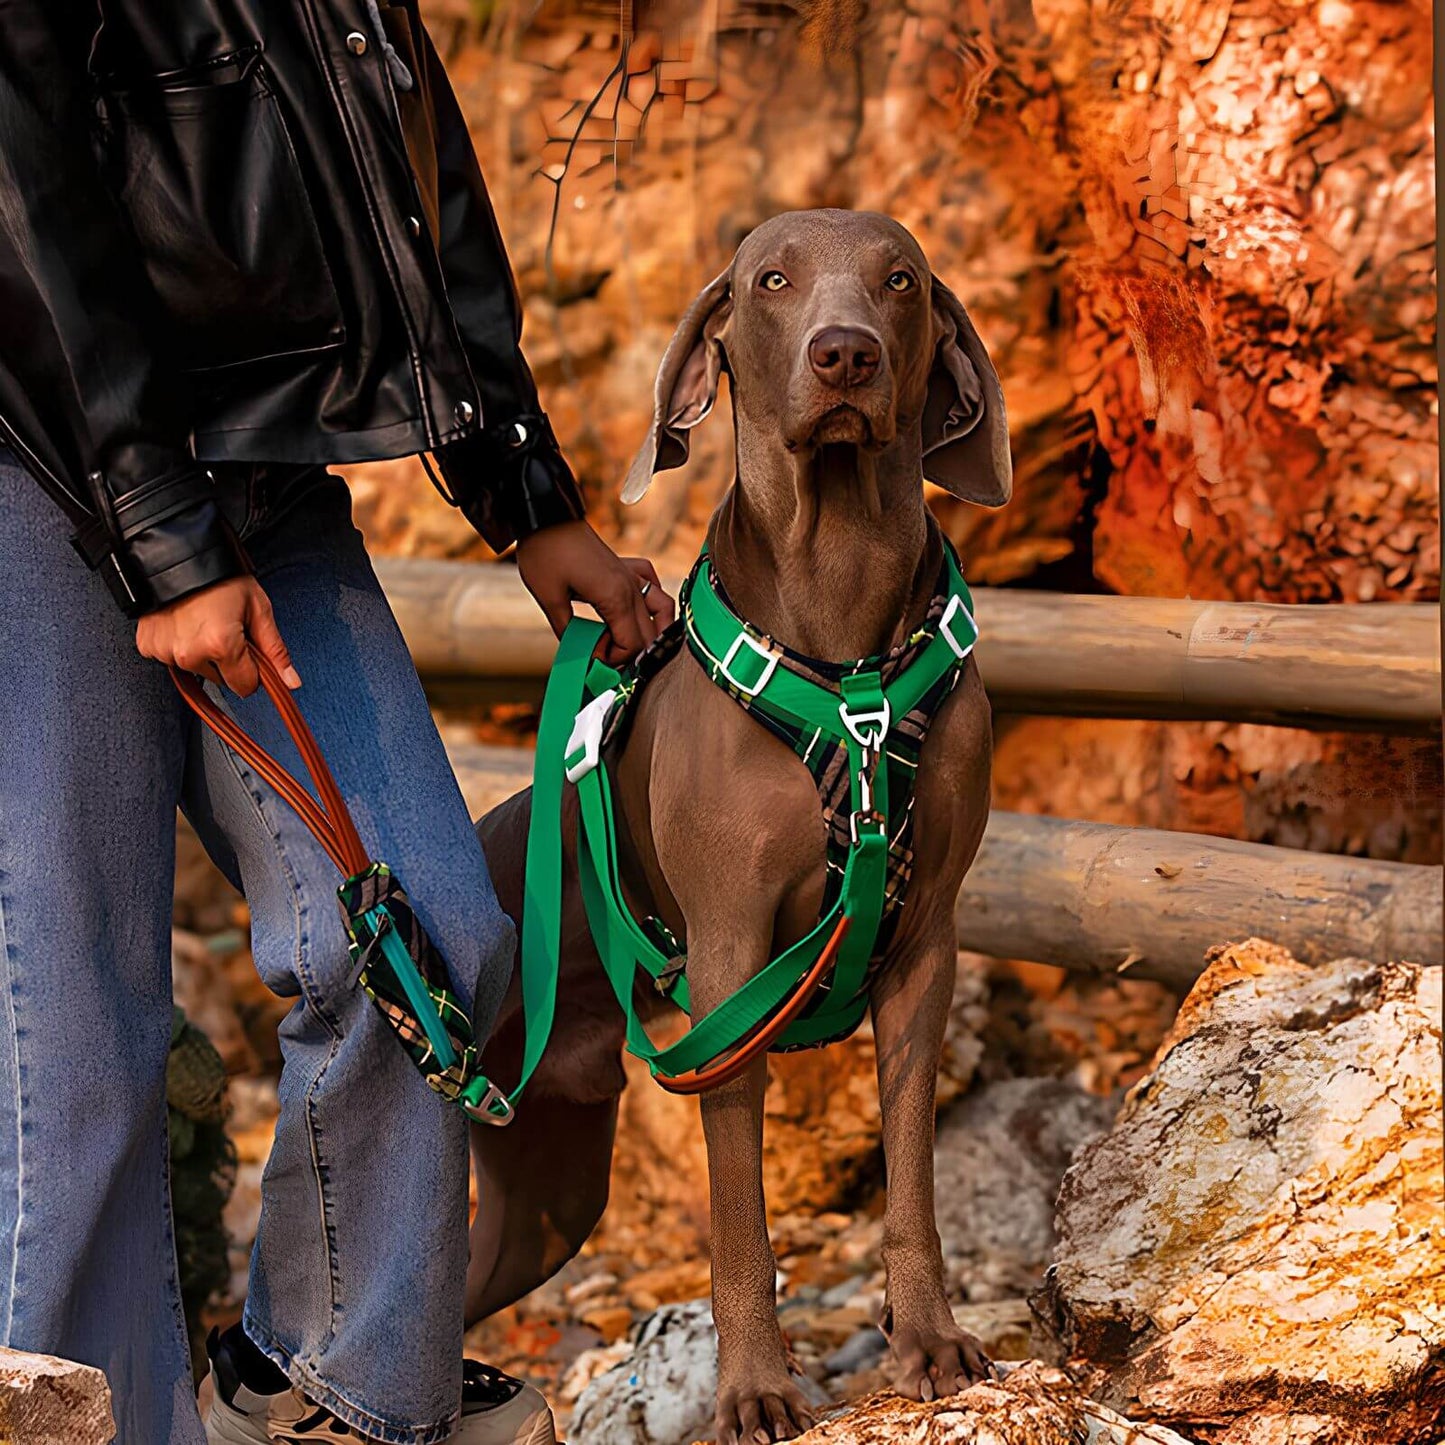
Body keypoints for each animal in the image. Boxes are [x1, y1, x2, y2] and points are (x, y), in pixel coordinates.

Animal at [468, 209, 1011, 1439]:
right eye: (771, 281)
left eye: (900, 281)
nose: (845, 355)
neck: (848, 658)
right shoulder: (727, 966)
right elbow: (737, 1217)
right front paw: (756, 1386)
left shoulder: (927, 945)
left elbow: (911, 1178)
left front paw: (930, 1340)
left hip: (543, 1194)